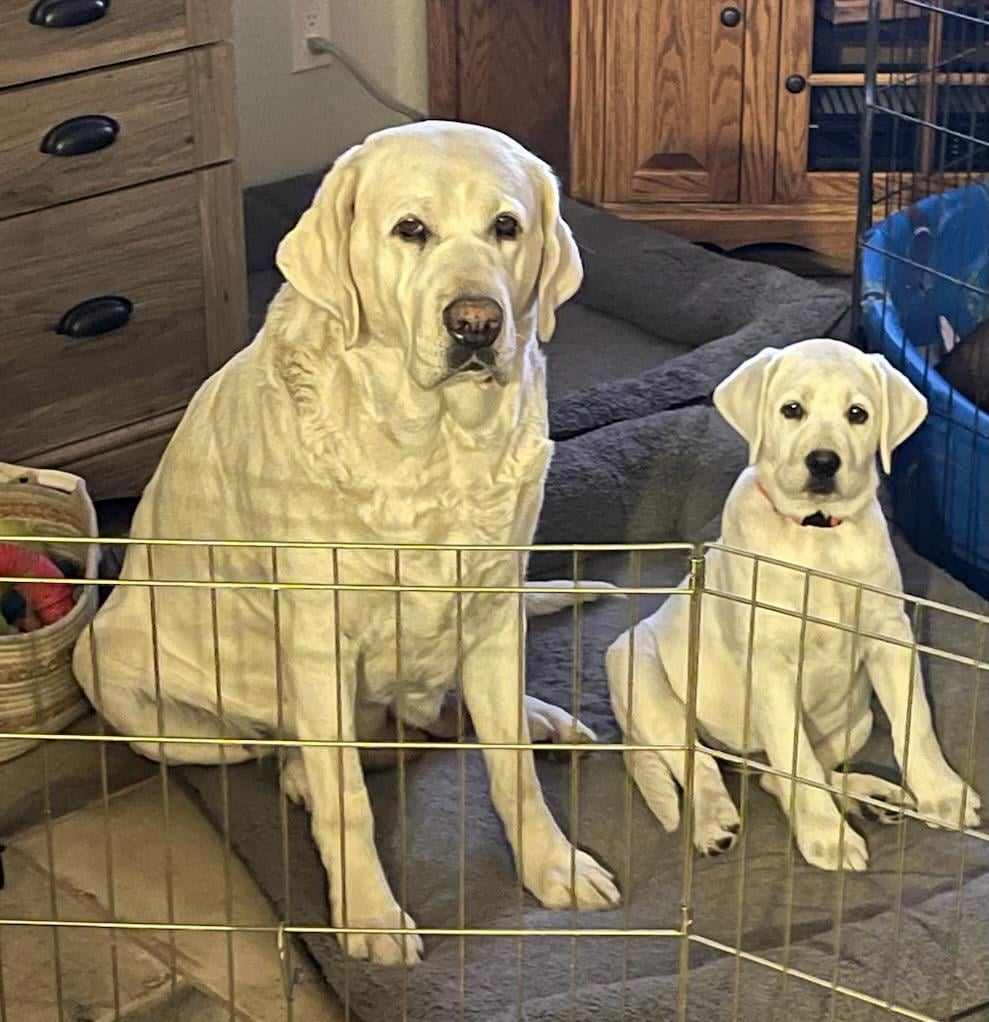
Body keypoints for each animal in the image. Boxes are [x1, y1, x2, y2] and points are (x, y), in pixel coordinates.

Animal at [72, 122, 621, 964]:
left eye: (506, 226)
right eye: (410, 230)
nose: (475, 322)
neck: (437, 446)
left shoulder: (493, 608)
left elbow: (513, 773)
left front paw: (552, 865)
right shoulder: (317, 639)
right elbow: (347, 798)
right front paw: (368, 916)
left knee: (458, 713)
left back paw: (538, 719)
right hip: (128, 686)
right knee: (282, 751)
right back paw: (303, 772)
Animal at [606, 338, 982, 871]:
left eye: (857, 414)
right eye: (792, 410)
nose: (823, 462)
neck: (817, 535)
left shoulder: (890, 634)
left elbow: (917, 720)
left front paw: (942, 794)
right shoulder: (770, 665)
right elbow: (795, 758)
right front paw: (826, 836)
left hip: (856, 720)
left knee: (778, 775)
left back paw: (874, 797)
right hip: (638, 676)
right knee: (703, 761)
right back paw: (715, 821)